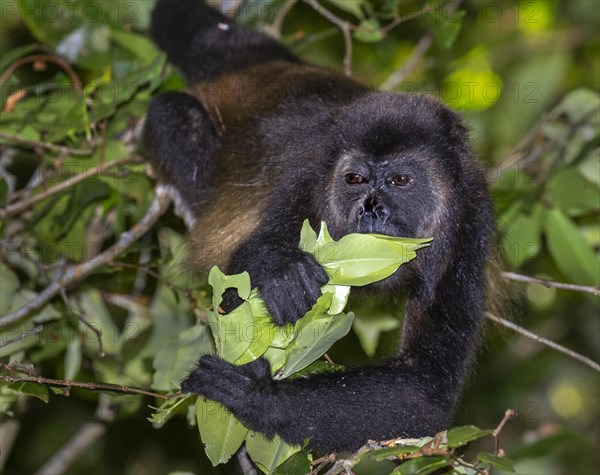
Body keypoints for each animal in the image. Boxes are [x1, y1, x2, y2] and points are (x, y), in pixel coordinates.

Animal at [143, 0, 494, 456]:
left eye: (402, 180)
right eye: (355, 179)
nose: (370, 210)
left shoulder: (472, 216)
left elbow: (425, 383)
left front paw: (259, 398)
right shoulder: (309, 174)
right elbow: (238, 273)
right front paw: (283, 274)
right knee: (169, 112)